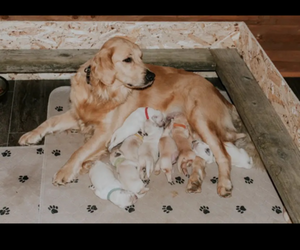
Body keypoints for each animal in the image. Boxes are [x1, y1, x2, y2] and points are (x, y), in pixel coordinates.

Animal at [19, 36, 253, 198]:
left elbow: (80, 151)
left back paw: (224, 183)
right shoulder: (77, 113)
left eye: (141, 58)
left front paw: (65, 170)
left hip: (200, 118)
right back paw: (195, 180)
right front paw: (31, 134)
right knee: (201, 157)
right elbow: (50, 121)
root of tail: (222, 96)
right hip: (194, 130)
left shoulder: (105, 132)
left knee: (223, 155)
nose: (151, 75)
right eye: (128, 59)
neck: (101, 92)